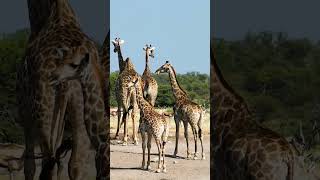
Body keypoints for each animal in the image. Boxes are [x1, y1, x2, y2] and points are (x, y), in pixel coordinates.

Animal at [17, 0, 109, 179]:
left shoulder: (26, 117)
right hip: (78, 112)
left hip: (43, 113)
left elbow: (29, 166)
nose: (54, 75)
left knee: (48, 163)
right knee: (74, 163)